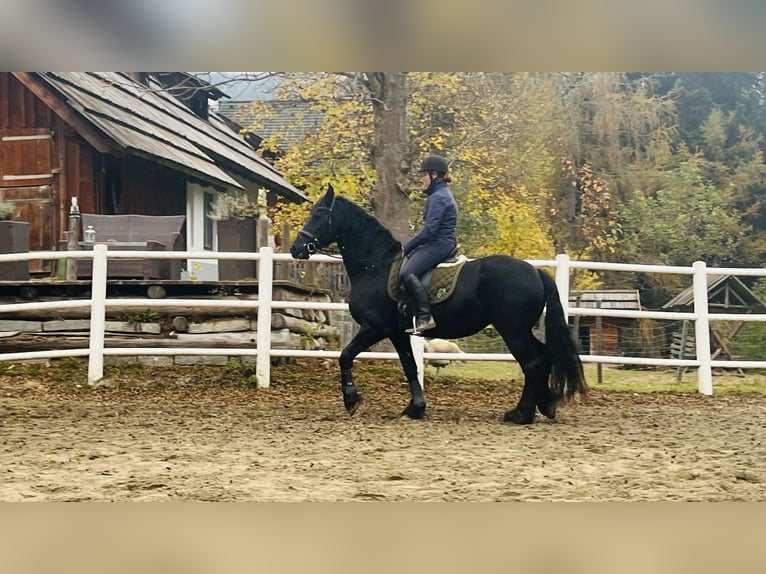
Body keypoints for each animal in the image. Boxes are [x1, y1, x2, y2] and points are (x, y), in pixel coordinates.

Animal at [290, 187, 588, 426]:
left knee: (533, 363)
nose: (296, 249)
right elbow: (410, 366)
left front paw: (352, 401)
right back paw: (545, 404)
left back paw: (520, 414)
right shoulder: (397, 333)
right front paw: (415, 408)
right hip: (521, 329)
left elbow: (345, 356)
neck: (375, 267)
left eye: (319, 213)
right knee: (545, 356)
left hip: (511, 330)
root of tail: (535, 271)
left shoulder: (375, 327)